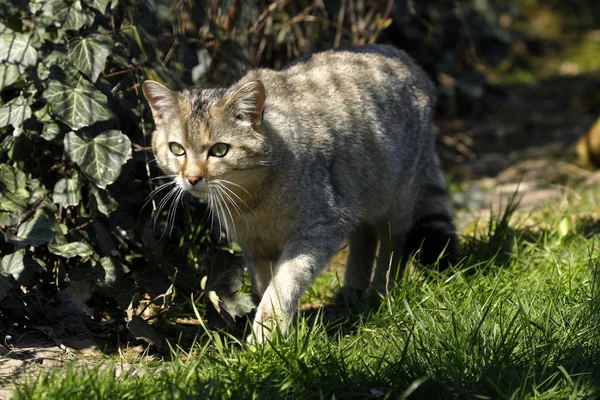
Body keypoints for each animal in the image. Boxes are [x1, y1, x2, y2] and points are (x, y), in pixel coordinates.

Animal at [143, 44, 458, 344]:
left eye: (219, 150)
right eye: (177, 149)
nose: (192, 178)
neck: (251, 200)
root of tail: (404, 56)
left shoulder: (321, 227)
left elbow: (283, 285)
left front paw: (267, 334)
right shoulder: (256, 246)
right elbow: (265, 286)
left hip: (395, 200)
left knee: (392, 246)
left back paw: (382, 292)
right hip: (359, 193)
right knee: (364, 238)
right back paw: (353, 291)